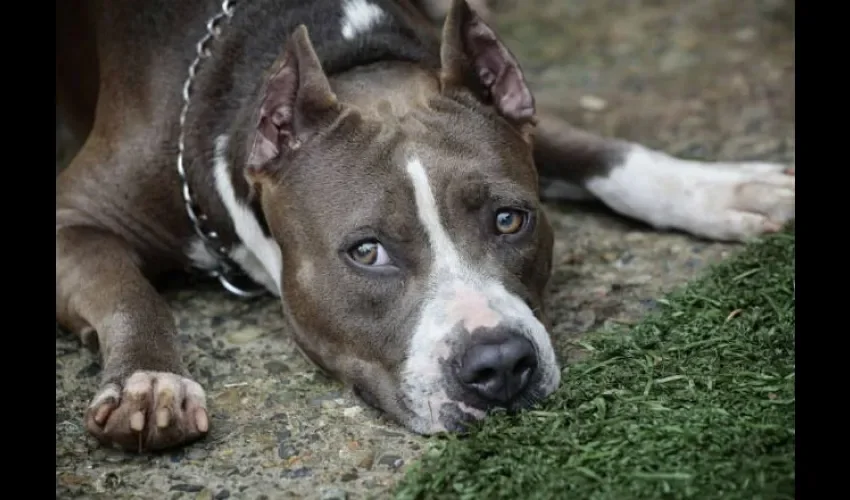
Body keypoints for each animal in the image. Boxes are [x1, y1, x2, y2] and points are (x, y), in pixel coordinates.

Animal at [54, 0, 796, 454]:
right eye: (367, 252)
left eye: (510, 218)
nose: (500, 366)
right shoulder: (74, 213)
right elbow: (132, 293)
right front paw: (151, 382)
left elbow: (609, 155)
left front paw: (727, 189)